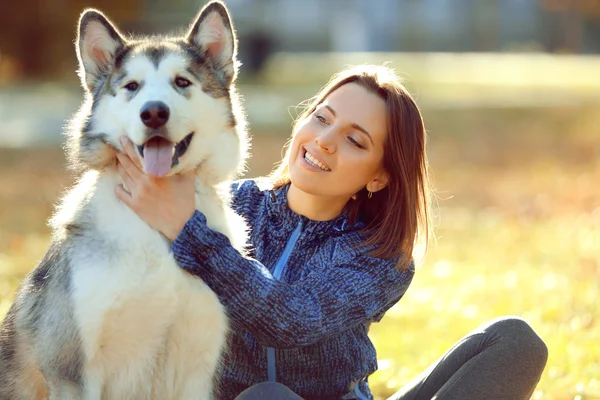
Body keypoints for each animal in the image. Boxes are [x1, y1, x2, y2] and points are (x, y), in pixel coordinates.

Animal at [0, 1, 248, 398]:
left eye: (182, 82)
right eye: (132, 86)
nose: (154, 112)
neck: (155, 230)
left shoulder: (198, 369)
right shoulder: (71, 371)